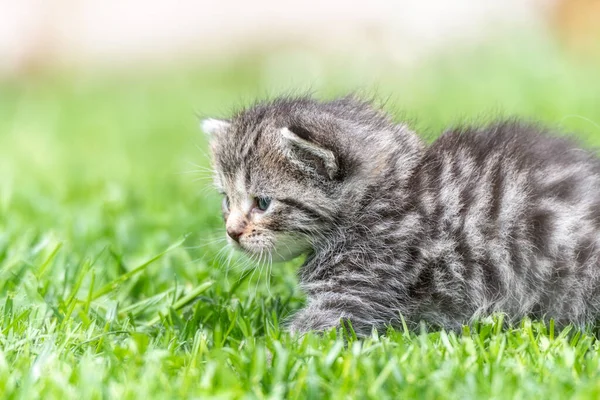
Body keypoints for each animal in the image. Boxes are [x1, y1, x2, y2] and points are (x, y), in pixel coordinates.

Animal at [203, 97, 600, 334]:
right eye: (226, 200)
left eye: (262, 202)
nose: (232, 232)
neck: (383, 197)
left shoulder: (359, 294)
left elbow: (301, 337)